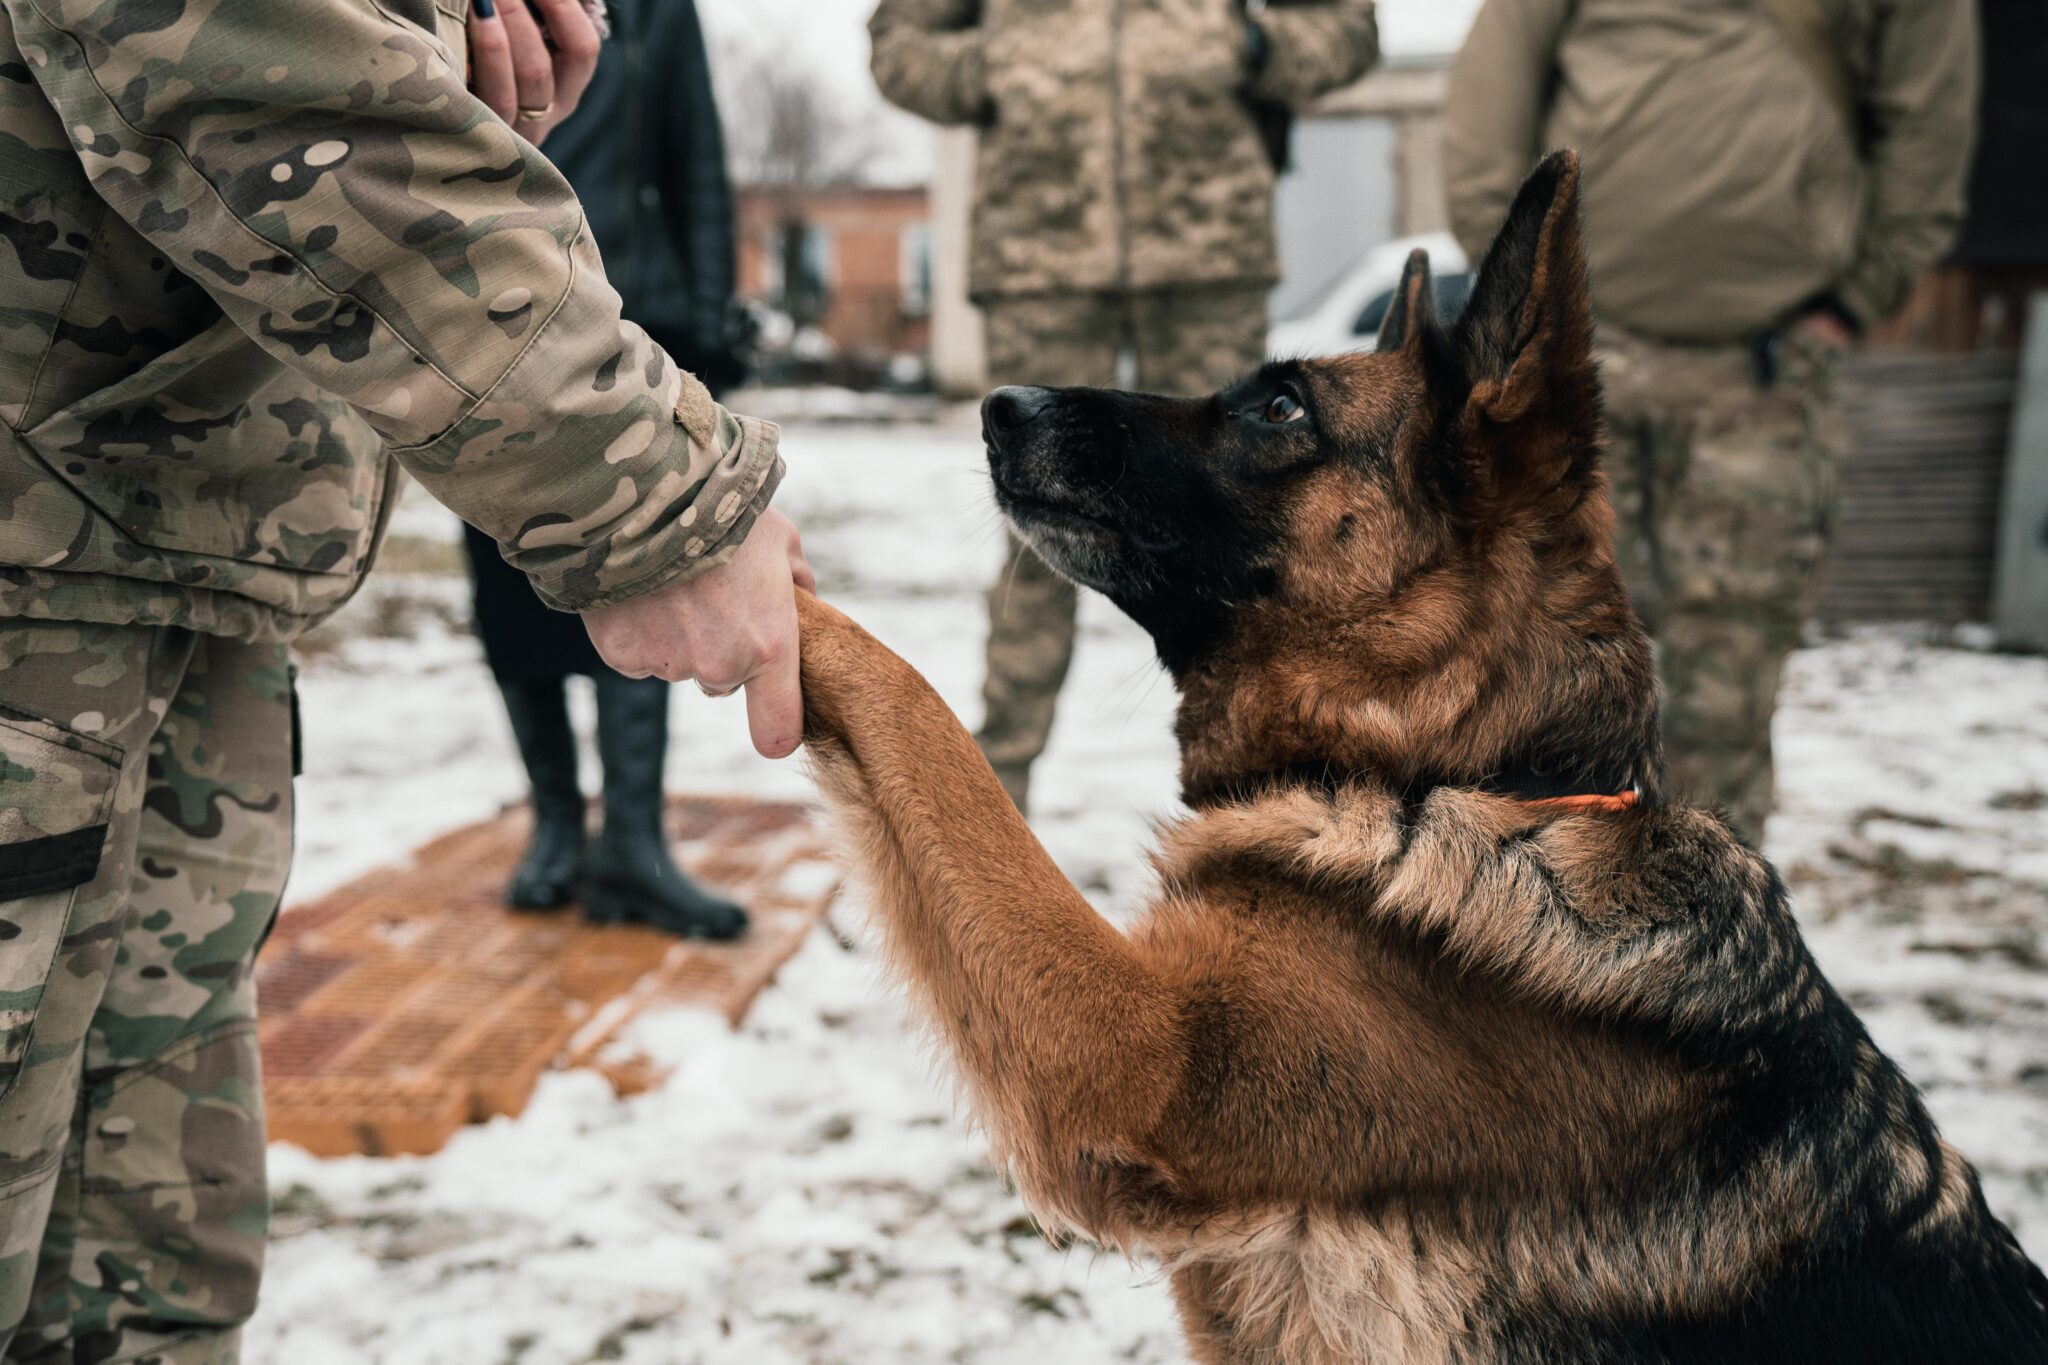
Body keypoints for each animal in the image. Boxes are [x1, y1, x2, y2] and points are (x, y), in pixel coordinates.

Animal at [790, 154, 2048, 1358]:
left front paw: (779, 594)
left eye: (1280, 406)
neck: (1463, 777)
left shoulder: (1133, 1055)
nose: (1001, 405)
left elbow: (917, 705)